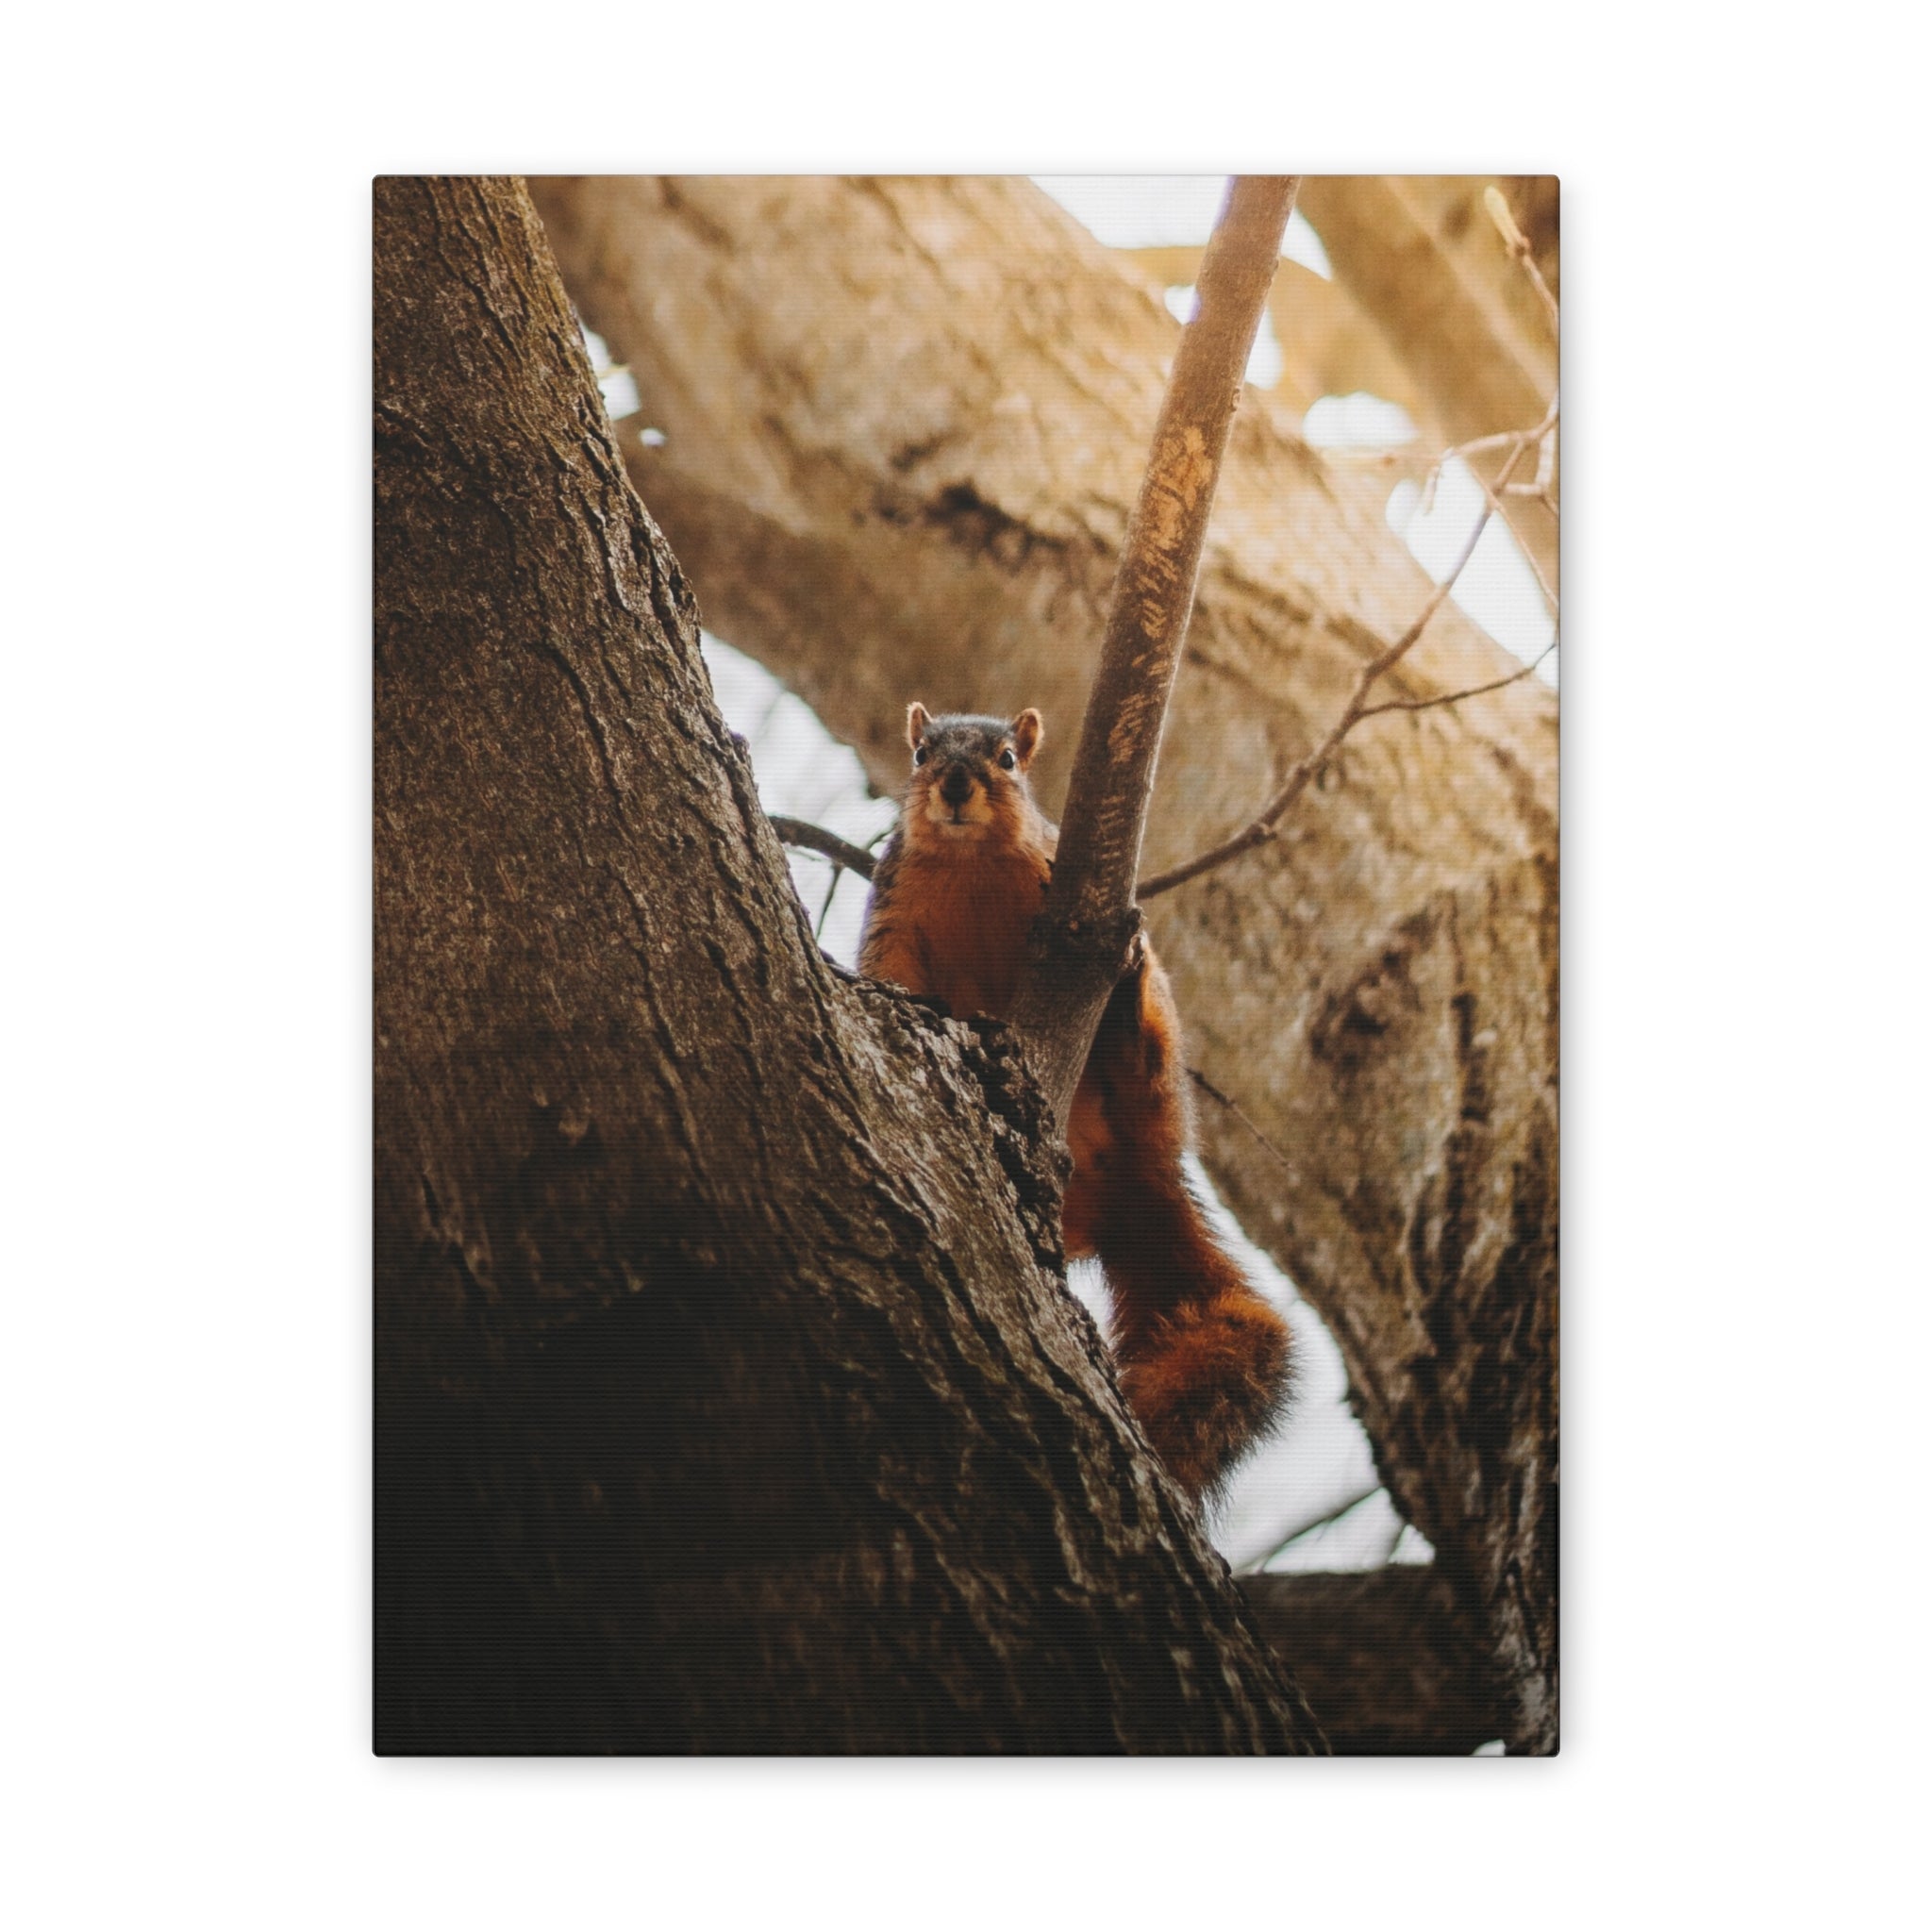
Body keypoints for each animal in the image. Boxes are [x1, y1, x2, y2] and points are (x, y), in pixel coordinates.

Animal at [859, 702, 1292, 1503]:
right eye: (921, 754)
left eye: (1007, 758)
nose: (956, 783)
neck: (970, 865)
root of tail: (1137, 1181)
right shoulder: (894, 913)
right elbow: (893, 974)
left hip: (1156, 1090)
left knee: (1143, 1066)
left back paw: (1127, 1015)